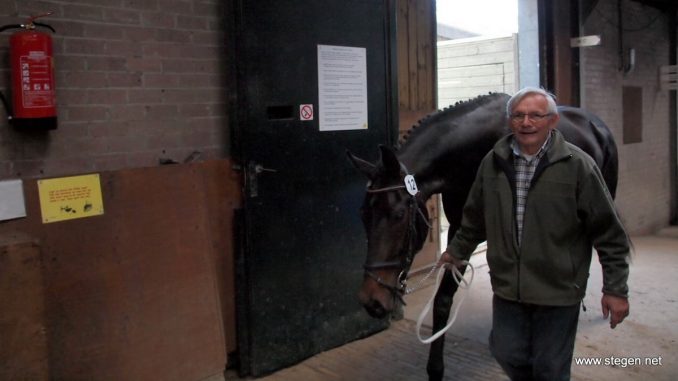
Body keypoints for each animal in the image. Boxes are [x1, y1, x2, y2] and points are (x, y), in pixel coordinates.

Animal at [348, 92, 620, 380]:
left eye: (399, 215)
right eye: (363, 214)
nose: (371, 300)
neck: (470, 154)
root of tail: (597, 125)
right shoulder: (461, 229)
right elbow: (444, 300)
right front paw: (436, 369)